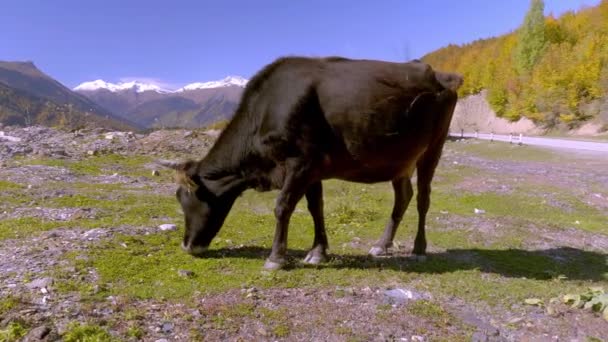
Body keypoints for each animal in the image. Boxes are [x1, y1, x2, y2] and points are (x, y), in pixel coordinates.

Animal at [159, 56, 464, 270]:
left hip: (433, 147)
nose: (188, 246)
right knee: (403, 196)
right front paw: (318, 252)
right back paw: (382, 245)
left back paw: (419, 249)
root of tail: (442, 75)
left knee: (423, 198)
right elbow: (316, 208)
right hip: (400, 158)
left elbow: (282, 207)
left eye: (187, 199)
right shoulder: (313, 169)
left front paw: (276, 258)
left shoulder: (299, 163)